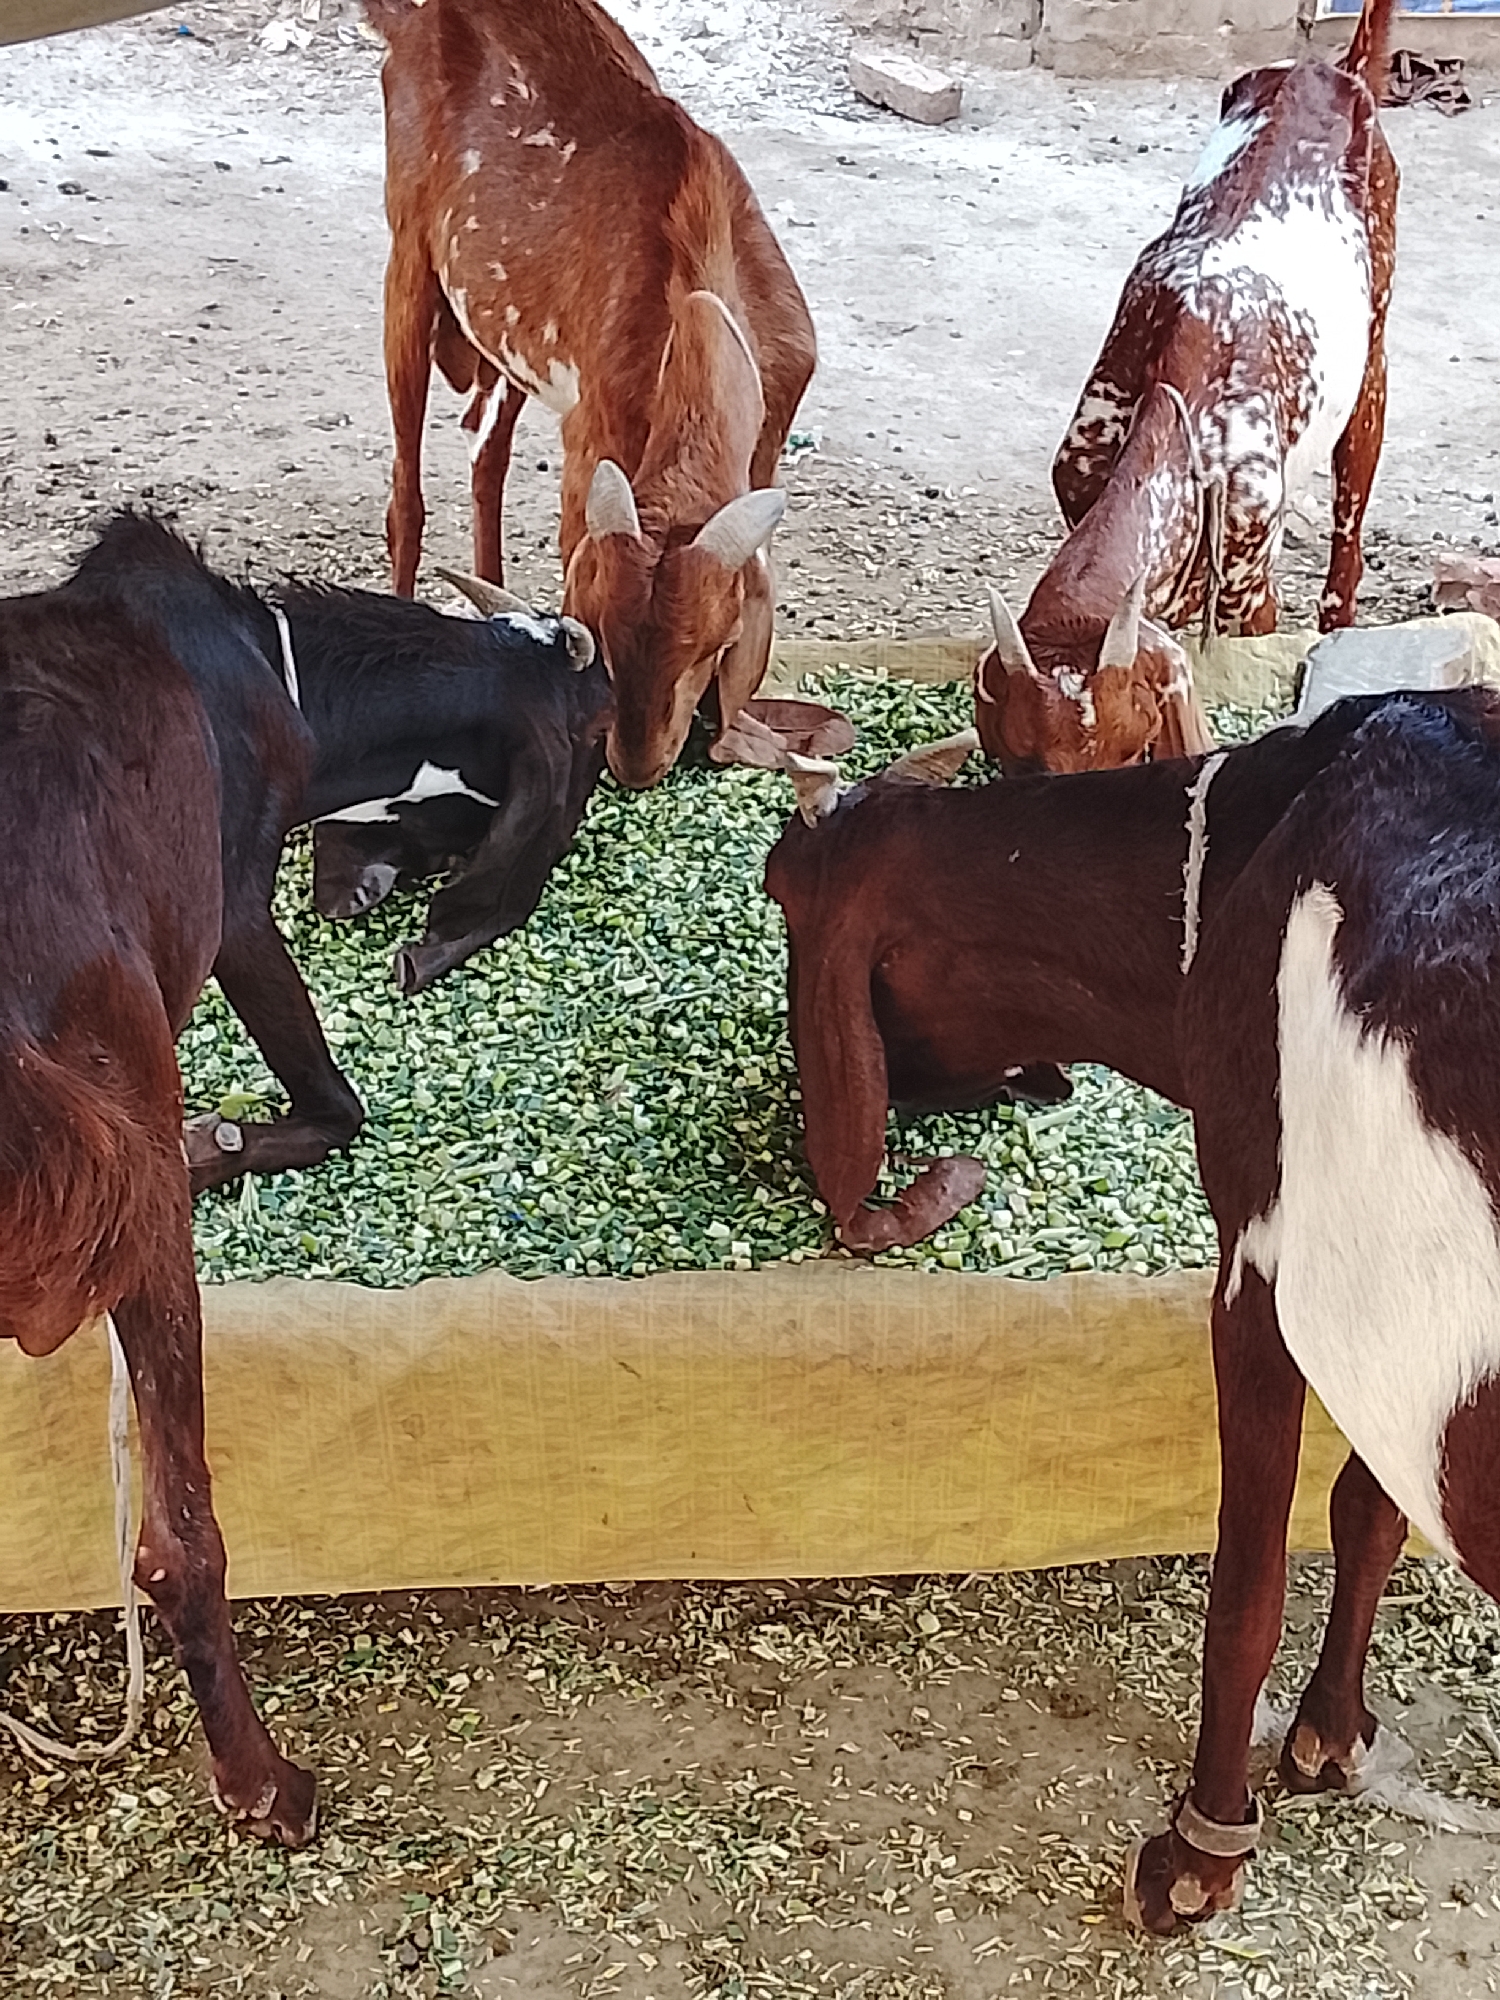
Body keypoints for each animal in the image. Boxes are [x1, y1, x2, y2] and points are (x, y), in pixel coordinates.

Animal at [366, 0, 816, 789]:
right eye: (602, 628)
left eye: (712, 643)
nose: (636, 767)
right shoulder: (594, 433)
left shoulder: (766, 433)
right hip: (412, 261)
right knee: (407, 499)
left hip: (507, 340)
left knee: (487, 455)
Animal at [975, 0, 1397, 774]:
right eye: (1020, 759)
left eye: (1133, 751)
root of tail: (1332, 70)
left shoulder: (1249, 581)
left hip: (1373, 355)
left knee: (1351, 514)